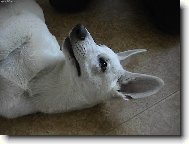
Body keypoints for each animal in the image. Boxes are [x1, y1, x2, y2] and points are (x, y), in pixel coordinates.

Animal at [0, 0, 164, 118]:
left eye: (103, 64)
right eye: (100, 44)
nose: (80, 28)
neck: (36, 81)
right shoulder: (25, 24)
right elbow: (4, 45)